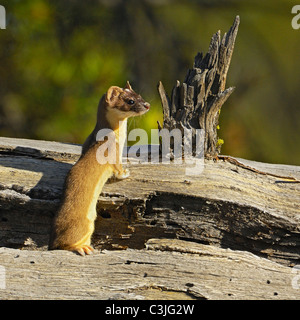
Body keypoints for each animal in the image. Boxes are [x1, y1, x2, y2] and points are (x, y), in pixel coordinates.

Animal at [48, 82, 150, 255]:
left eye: (139, 95)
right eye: (130, 101)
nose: (147, 105)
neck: (118, 136)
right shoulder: (114, 152)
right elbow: (117, 169)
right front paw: (126, 173)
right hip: (83, 224)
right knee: (64, 243)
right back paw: (82, 248)